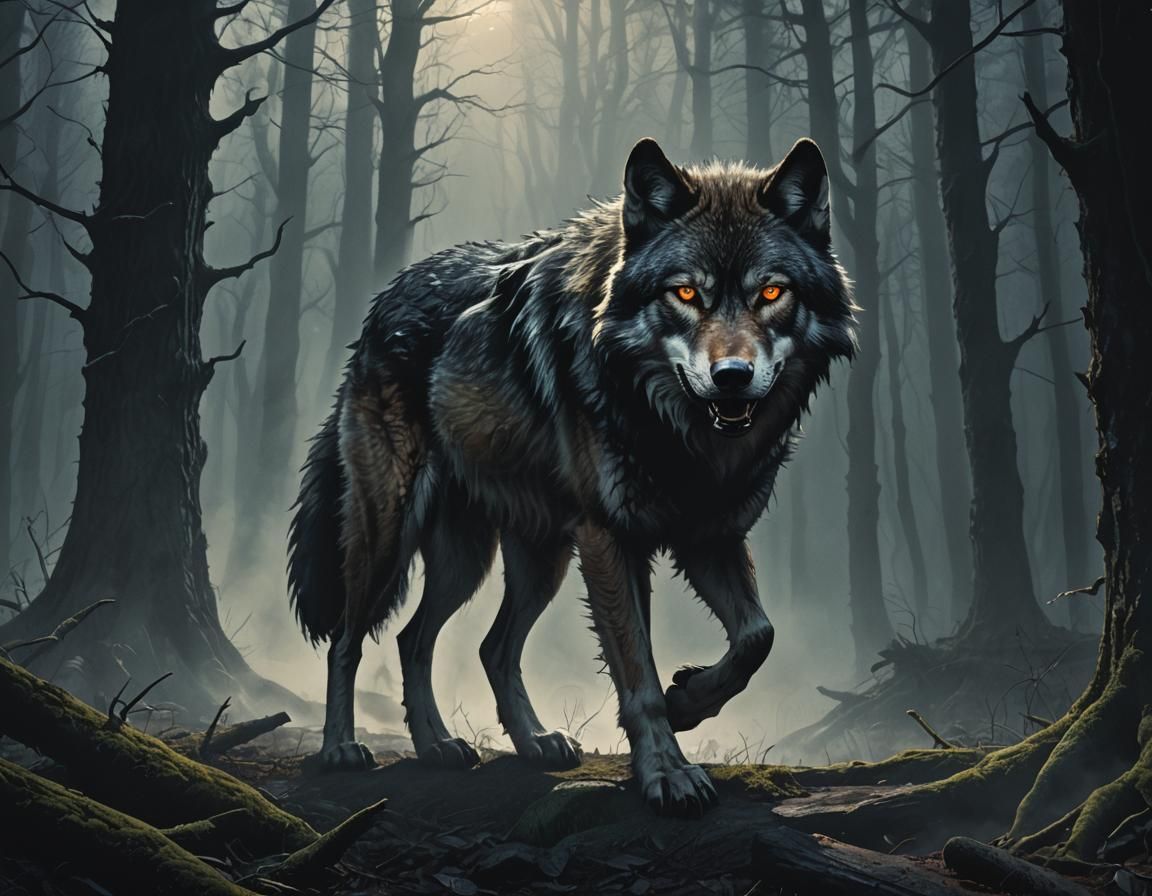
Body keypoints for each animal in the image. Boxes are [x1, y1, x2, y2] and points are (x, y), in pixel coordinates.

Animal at [289, 137, 855, 816]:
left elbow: (756, 637)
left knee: (450, 643)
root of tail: (381, 305)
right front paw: (668, 773)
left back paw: (488, 745)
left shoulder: (709, 535)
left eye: (771, 294)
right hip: (395, 537)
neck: (677, 433)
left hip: (514, 559)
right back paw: (342, 750)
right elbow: (637, 673)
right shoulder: (609, 538)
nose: (732, 378)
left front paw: (688, 702)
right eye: (686, 295)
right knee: (349, 640)